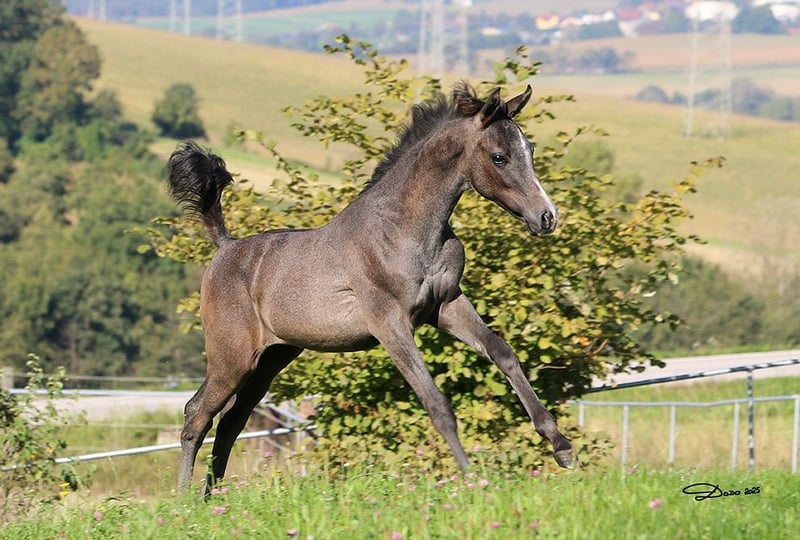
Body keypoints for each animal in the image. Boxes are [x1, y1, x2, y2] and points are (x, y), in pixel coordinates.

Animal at [166, 82, 575, 494]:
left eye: (530, 151)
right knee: (198, 413)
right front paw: (472, 477)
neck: (404, 230)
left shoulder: (446, 305)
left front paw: (562, 446)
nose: (547, 217)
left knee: (231, 423)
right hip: (232, 358)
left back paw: (212, 496)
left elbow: (502, 352)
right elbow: (436, 402)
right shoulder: (390, 324)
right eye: (499, 157)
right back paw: (185, 500)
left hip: (271, 359)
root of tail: (225, 246)